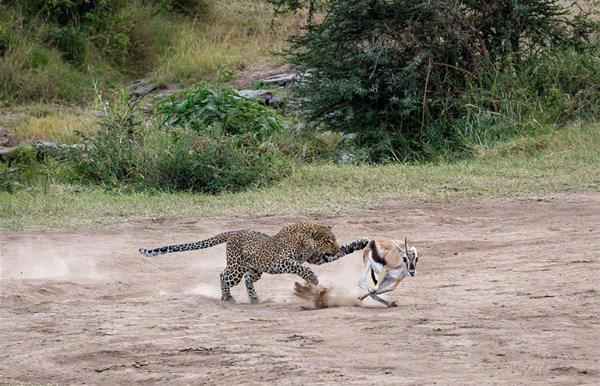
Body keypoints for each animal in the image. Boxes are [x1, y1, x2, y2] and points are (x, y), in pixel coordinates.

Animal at [138, 223, 368, 304]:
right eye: (328, 240)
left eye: (334, 240)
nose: (334, 247)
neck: (305, 239)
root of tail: (233, 232)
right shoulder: (281, 261)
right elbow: (301, 267)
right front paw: (312, 279)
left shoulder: (317, 258)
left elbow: (341, 252)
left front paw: (360, 243)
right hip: (237, 269)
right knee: (223, 275)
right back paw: (227, 297)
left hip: (255, 270)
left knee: (248, 279)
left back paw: (255, 298)